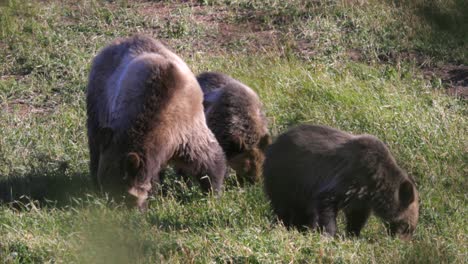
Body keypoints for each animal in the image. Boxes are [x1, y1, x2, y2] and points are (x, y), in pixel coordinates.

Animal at [88, 34, 229, 208]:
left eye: (120, 196)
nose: (106, 207)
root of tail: (113, 43)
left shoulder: (187, 131)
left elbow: (210, 160)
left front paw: (212, 193)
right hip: (101, 99)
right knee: (96, 138)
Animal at [264, 124, 420, 239]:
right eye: (407, 226)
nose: (402, 242)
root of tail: (274, 141)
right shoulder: (349, 177)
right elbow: (326, 203)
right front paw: (330, 234)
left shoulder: (361, 197)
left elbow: (357, 217)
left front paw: (353, 234)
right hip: (286, 176)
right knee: (284, 206)